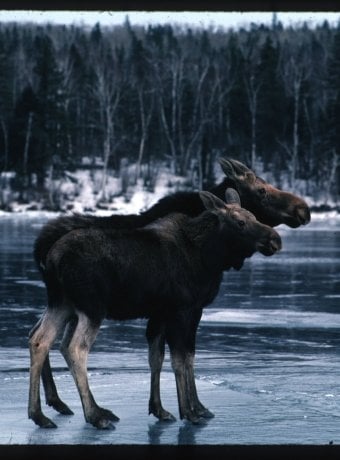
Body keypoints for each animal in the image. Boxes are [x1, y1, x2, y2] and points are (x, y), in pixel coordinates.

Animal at [31, 160, 310, 426]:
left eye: (253, 216)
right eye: (261, 191)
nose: (276, 239)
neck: (209, 256)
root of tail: (49, 254)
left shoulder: (163, 312)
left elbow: (160, 357)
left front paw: (163, 409)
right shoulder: (185, 309)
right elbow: (183, 358)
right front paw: (191, 410)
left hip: (62, 304)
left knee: (39, 339)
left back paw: (43, 413)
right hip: (92, 307)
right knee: (74, 348)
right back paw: (93, 414)